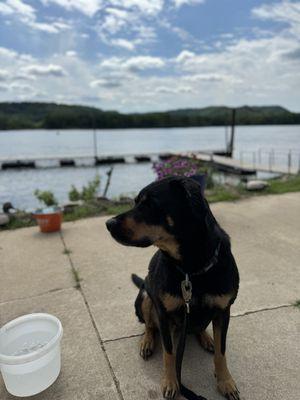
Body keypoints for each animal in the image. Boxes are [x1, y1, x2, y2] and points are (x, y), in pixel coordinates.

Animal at [106, 177, 240, 400]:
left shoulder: (223, 311)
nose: (108, 224)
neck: (190, 269)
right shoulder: (163, 313)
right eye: (136, 202)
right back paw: (147, 342)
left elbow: (221, 352)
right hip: (145, 296)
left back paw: (206, 338)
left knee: (199, 328)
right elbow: (169, 353)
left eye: (150, 204)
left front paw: (226, 382)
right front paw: (171, 382)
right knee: (149, 326)